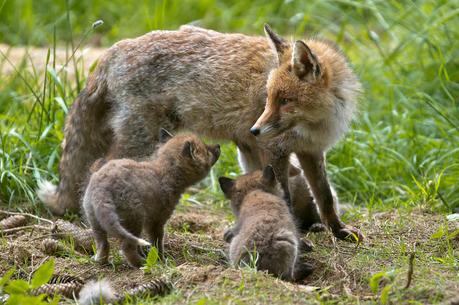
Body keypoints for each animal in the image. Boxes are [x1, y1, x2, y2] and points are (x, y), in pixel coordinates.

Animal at [36, 24, 362, 240]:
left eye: (284, 100)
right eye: (269, 98)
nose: (256, 129)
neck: (316, 123)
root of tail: (115, 48)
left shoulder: (310, 151)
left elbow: (324, 196)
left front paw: (338, 230)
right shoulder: (276, 151)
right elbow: (285, 197)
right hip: (142, 140)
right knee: (97, 168)